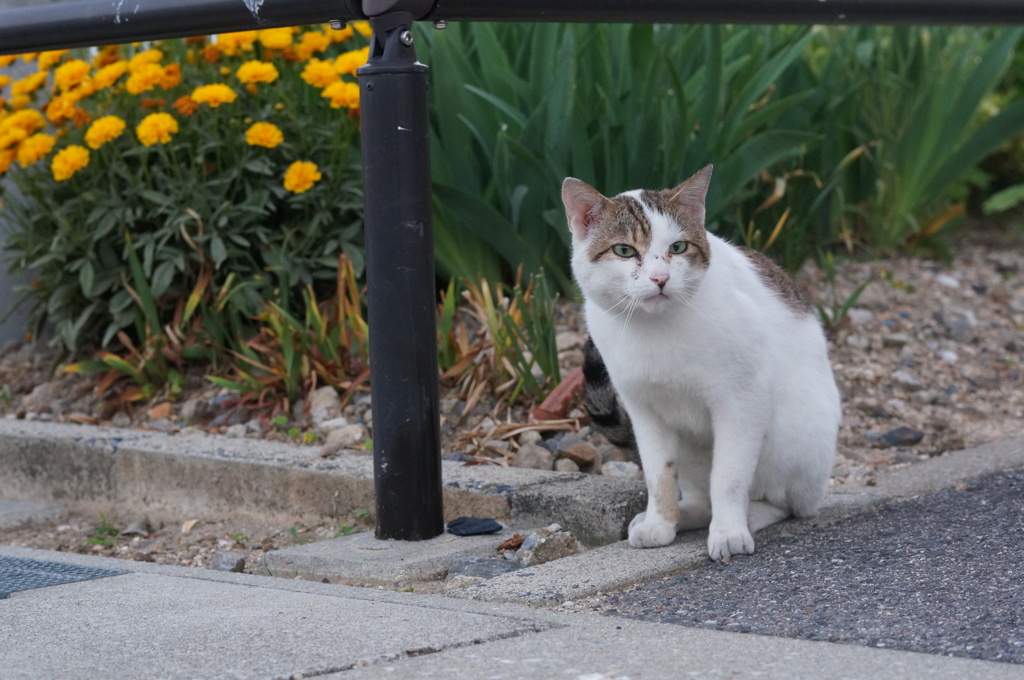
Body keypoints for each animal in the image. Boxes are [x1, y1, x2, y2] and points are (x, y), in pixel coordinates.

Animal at [565, 166, 843, 561]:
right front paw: (660, 522)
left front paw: (728, 532)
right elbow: (659, 473)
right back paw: (686, 515)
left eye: (678, 247)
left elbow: (728, 477)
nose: (660, 279)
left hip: (790, 437)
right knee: (701, 493)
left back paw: (747, 515)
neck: (654, 330)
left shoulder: (743, 401)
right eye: (624, 250)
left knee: (783, 502)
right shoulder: (643, 410)